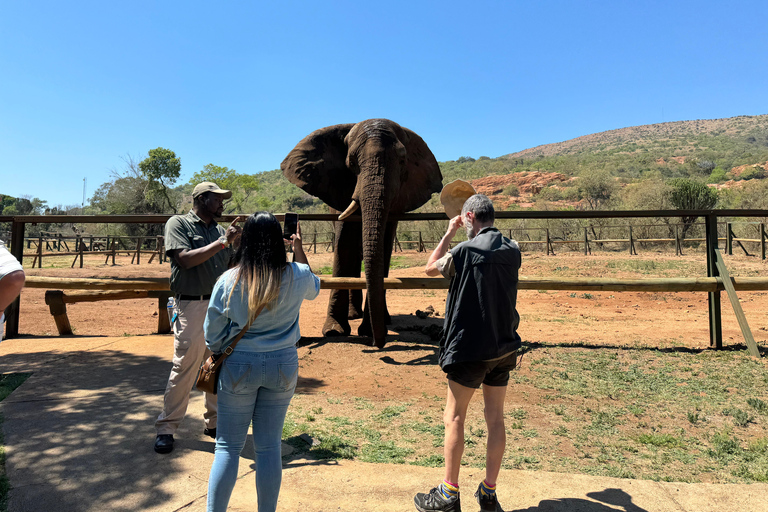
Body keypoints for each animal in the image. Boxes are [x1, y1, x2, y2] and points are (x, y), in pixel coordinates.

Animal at [282, 119, 440, 348]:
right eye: (352, 163)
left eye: (402, 161)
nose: (378, 343)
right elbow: (343, 245)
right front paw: (333, 332)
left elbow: (383, 248)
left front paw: (367, 331)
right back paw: (352, 315)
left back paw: (382, 319)